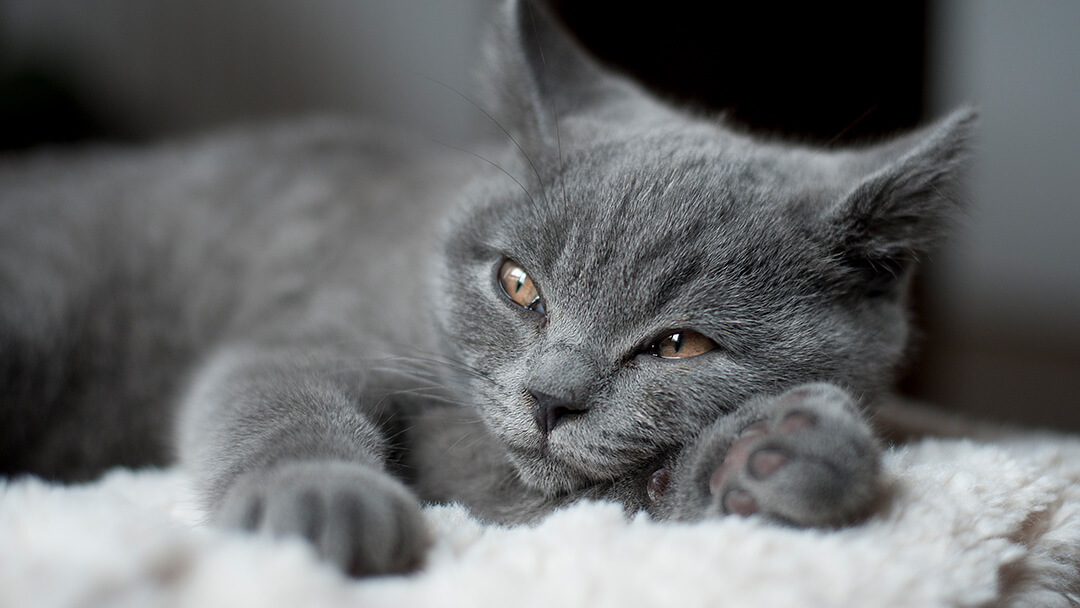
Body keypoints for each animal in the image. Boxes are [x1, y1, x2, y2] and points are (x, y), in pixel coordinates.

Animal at [0, 0, 976, 578]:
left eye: (679, 344)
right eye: (518, 285)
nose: (550, 398)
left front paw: (757, 457)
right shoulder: (313, 326)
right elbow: (279, 400)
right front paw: (323, 503)